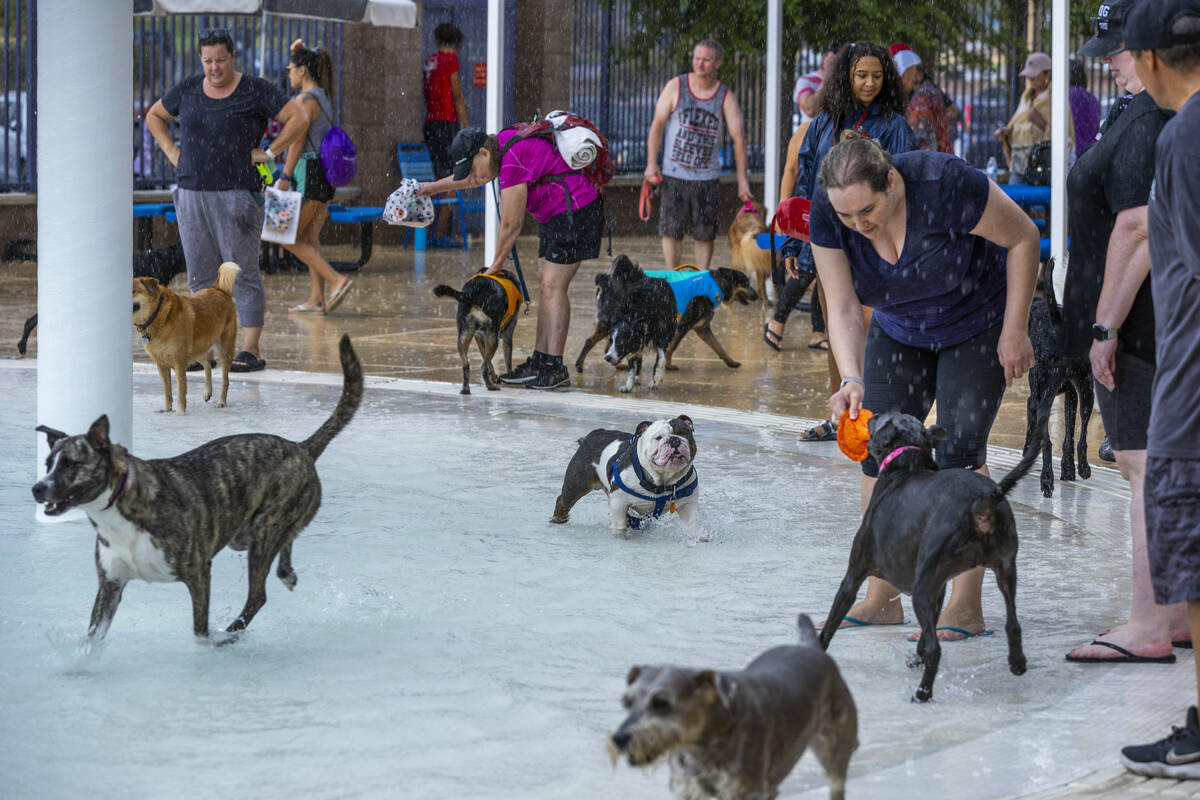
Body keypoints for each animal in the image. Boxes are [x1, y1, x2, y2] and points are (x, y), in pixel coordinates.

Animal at [31, 333, 360, 642]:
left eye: (71, 464)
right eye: (47, 463)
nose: (37, 488)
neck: (122, 505)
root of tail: (300, 448)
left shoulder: (198, 572)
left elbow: (200, 632)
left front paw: (211, 643)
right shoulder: (110, 585)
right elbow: (91, 641)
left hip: (265, 530)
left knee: (258, 594)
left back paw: (233, 631)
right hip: (246, 534)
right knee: (287, 538)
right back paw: (286, 573)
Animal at [132, 262, 240, 417]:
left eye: (133, 291)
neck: (158, 314)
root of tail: (218, 289)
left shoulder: (179, 361)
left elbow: (181, 389)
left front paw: (180, 411)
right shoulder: (161, 364)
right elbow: (167, 391)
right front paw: (167, 409)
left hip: (224, 348)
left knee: (225, 379)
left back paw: (221, 401)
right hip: (197, 347)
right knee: (207, 363)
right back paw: (207, 391)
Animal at [549, 417, 700, 534]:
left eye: (684, 433)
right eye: (659, 437)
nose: (674, 440)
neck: (662, 480)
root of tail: (593, 433)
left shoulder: (688, 504)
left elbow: (692, 525)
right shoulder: (619, 503)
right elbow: (619, 527)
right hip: (576, 485)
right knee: (562, 501)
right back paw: (558, 520)